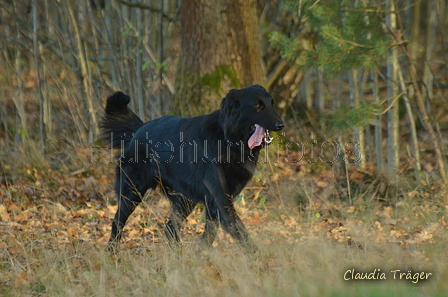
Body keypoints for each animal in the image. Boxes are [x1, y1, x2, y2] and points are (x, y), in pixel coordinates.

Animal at [101, 84, 284, 251]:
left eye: (272, 104)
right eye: (258, 106)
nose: (281, 125)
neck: (228, 139)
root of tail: (139, 129)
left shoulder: (217, 201)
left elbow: (210, 233)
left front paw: (200, 256)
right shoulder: (220, 198)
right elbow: (238, 230)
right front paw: (258, 258)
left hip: (184, 200)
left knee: (170, 228)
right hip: (132, 193)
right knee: (117, 222)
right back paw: (112, 253)